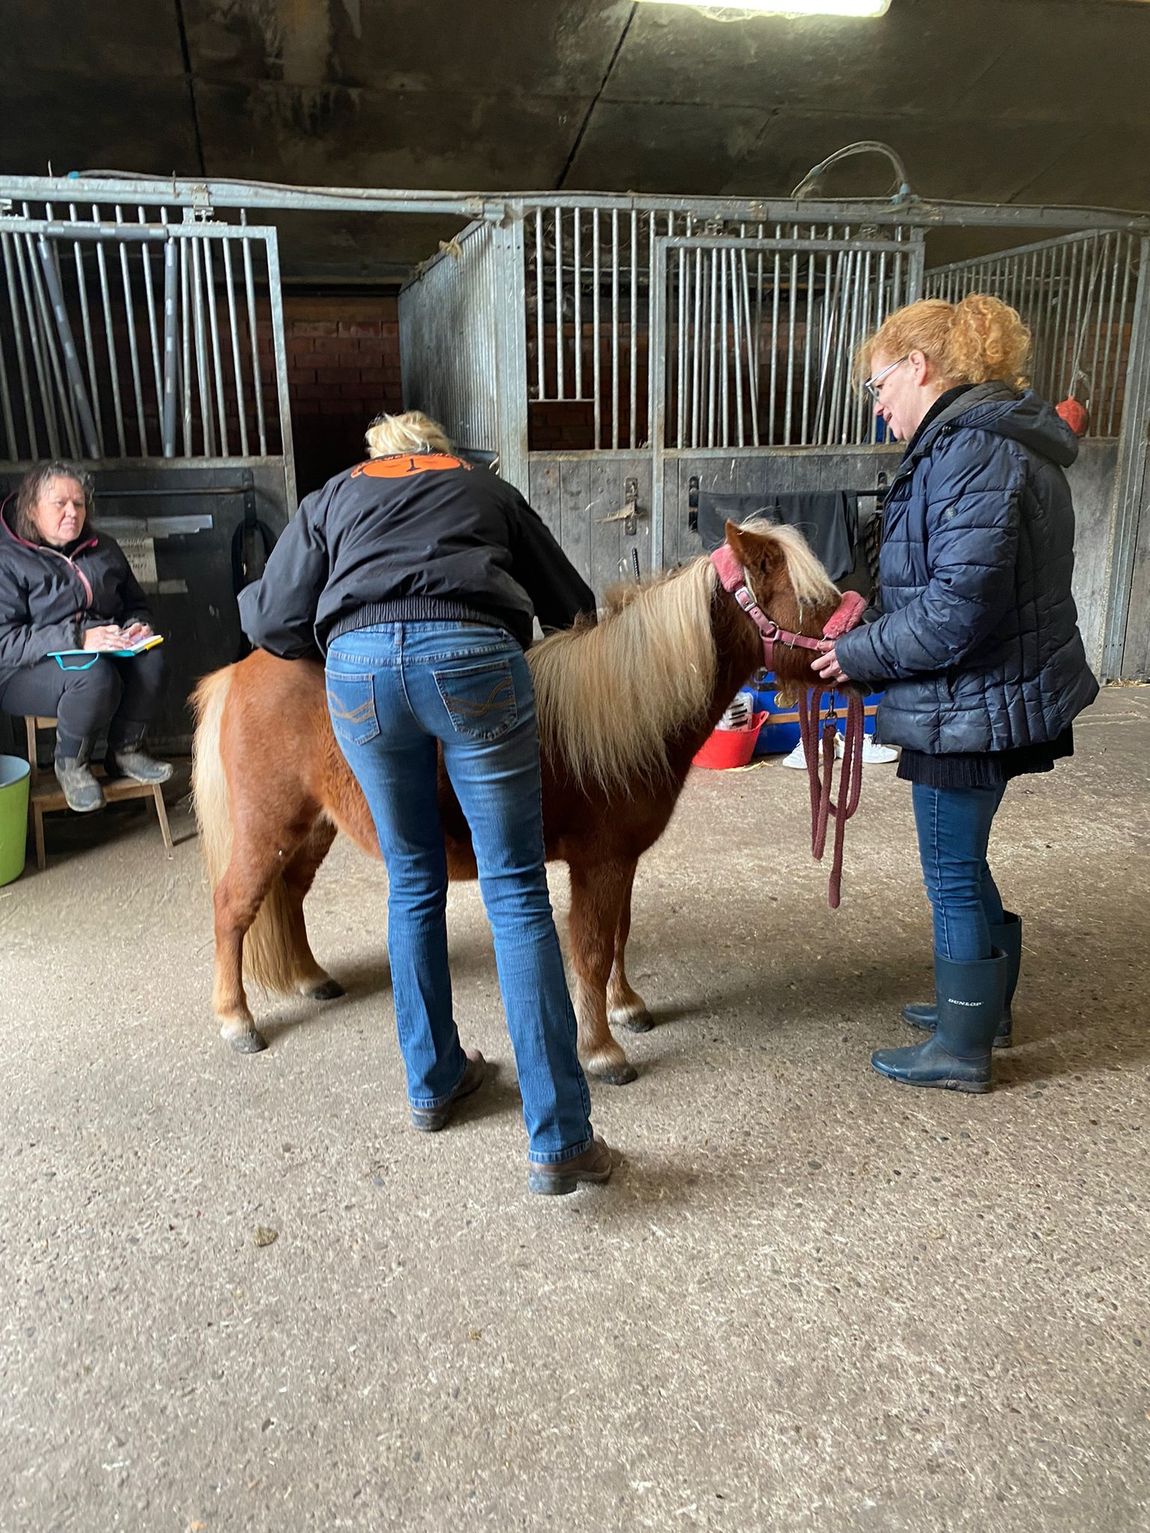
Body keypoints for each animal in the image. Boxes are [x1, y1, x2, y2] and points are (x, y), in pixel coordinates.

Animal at [191, 518, 841, 1084]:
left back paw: (309, 977)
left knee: (288, 896)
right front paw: (601, 1050)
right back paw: (237, 1020)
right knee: (233, 907)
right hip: (267, 826)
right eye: (811, 601)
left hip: (314, 827)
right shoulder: (599, 863)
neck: (627, 706)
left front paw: (627, 1006)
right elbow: (592, 949)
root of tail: (238, 671)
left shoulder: (622, 860)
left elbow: (620, 933)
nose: (854, 656)